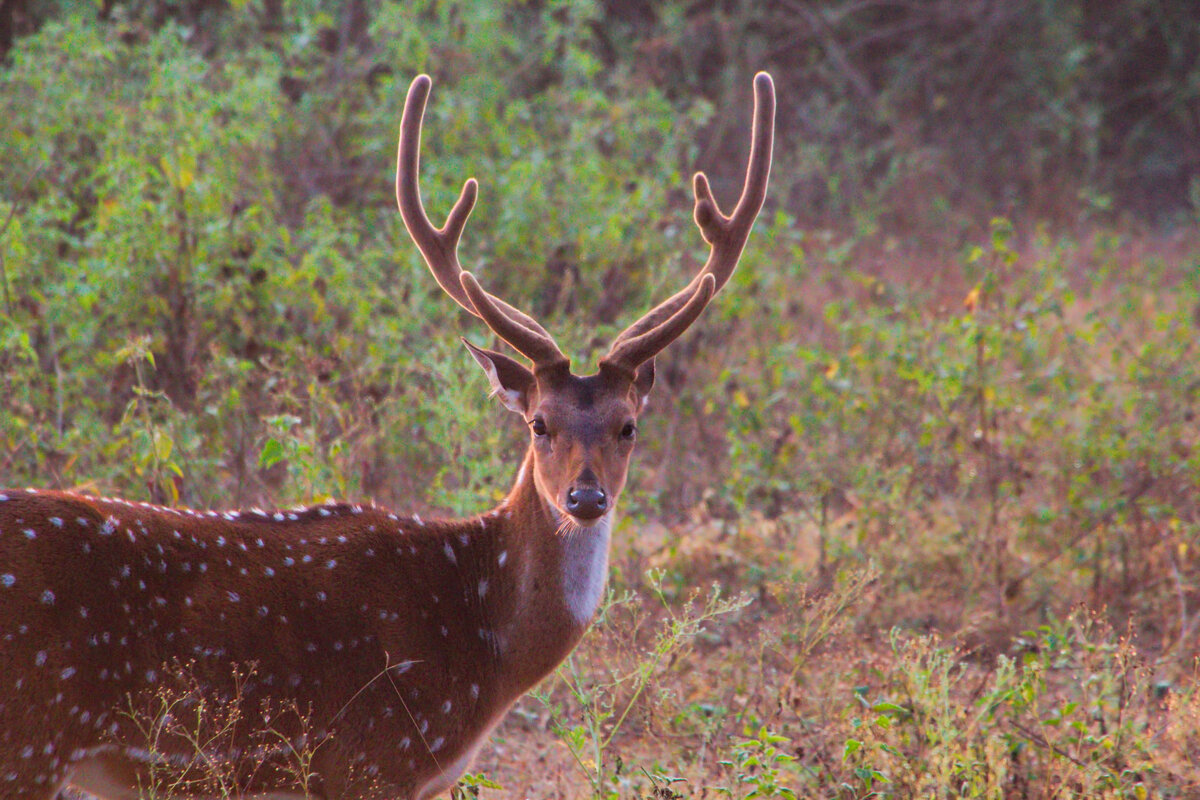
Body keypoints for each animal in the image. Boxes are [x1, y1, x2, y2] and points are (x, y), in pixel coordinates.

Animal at [2, 70, 777, 800]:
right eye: (539, 422)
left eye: (628, 425)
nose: (585, 499)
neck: (484, 645)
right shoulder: (375, 759)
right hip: (32, 736)